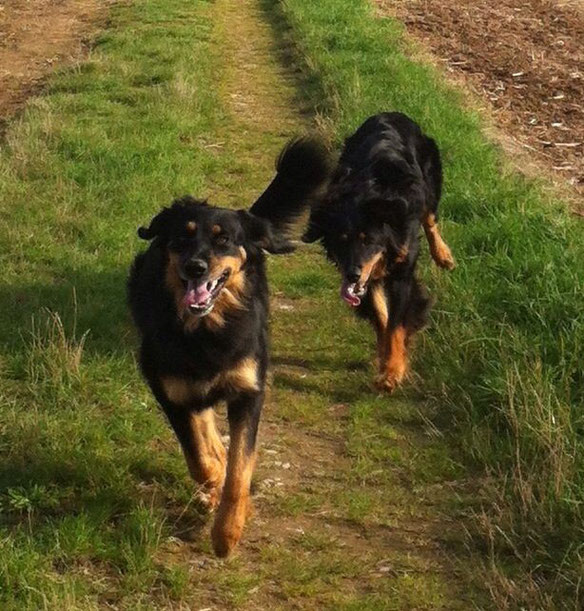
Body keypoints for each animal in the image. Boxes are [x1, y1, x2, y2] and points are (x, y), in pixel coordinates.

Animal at [128, 140, 328, 560]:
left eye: (223, 240)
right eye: (182, 237)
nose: (195, 267)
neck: (207, 331)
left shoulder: (247, 391)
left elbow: (240, 468)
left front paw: (227, 532)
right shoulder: (168, 388)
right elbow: (199, 457)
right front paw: (213, 483)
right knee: (203, 425)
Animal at [302, 113, 456, 392]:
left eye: (369, 240)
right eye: (341, 241)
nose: (352, 274)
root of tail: (390, 113)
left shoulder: (402, 273)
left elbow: (396, 323)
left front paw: (392, 372)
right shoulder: (365, 276)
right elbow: (380, 317)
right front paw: (386, 360)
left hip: (430, 174)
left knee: (430, 216)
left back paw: (444, 256)